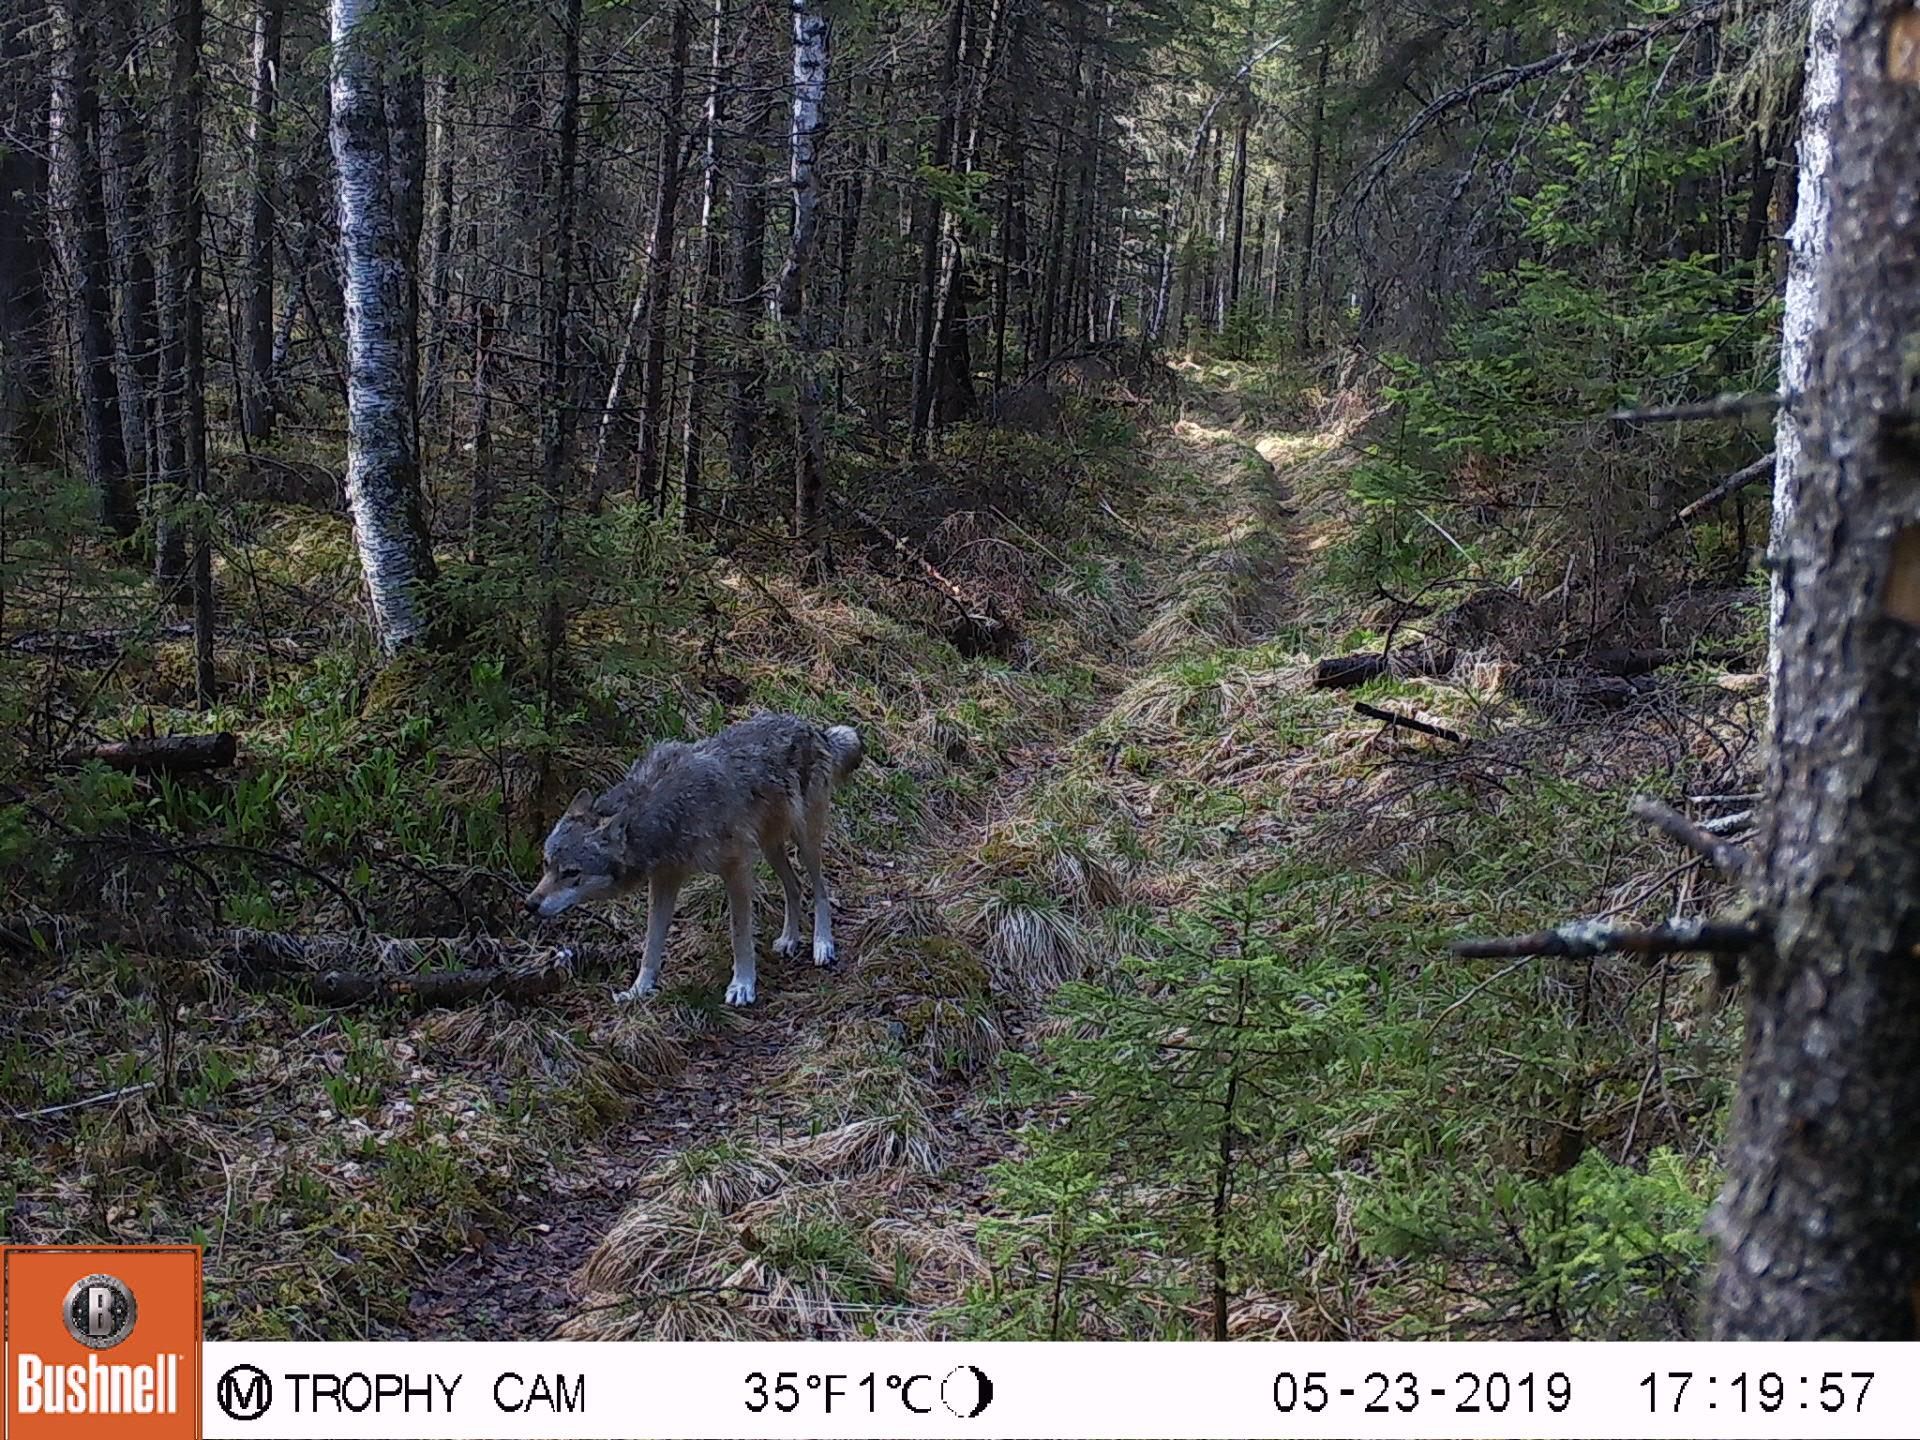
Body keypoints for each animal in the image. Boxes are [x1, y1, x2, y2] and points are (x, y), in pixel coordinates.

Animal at [524, 713, 864, 1006]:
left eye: (571, 872)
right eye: (546, 864)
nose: (530, 904)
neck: (668, 811)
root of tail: (810, 726)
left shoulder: (736, 868)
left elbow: (739, 933)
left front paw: (742, 986)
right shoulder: (664, 880)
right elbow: (651, 946)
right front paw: (637, 991)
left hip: (804, 840)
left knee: (819, 889)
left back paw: (822, 945)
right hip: (770, 848)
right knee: (794, 888)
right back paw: (789, 940)